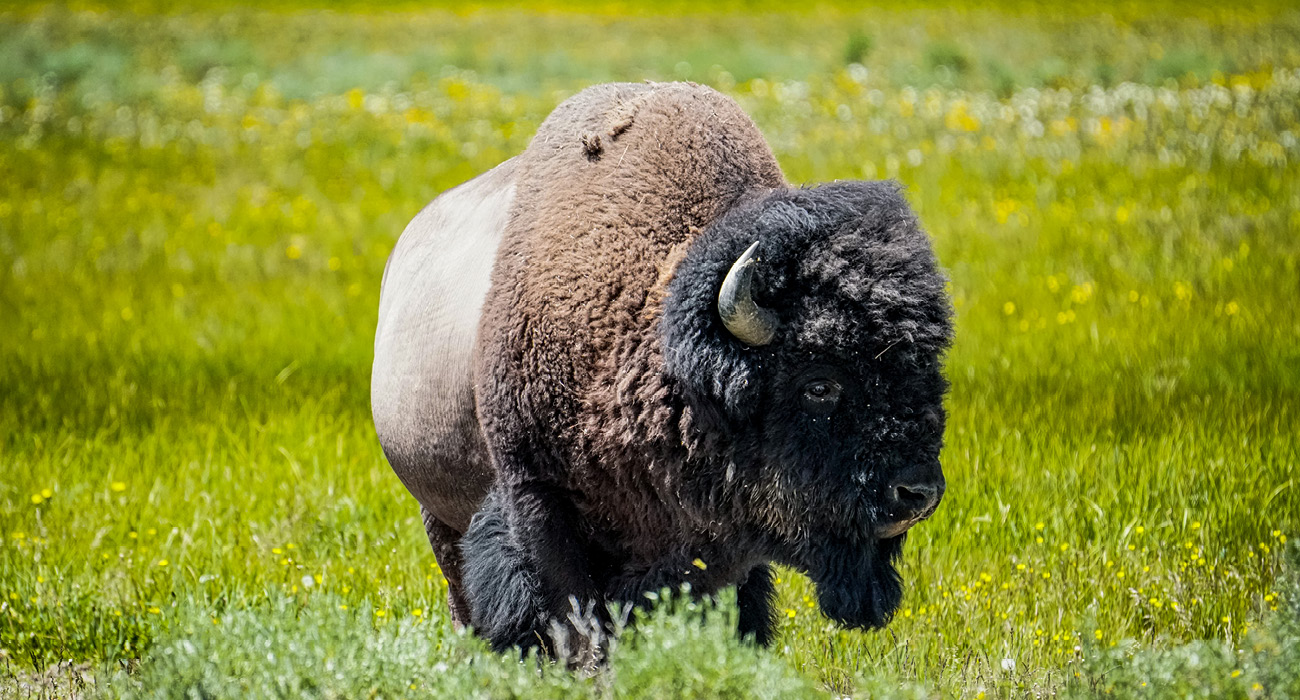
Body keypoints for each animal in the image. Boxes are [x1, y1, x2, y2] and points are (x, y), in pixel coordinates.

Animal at [371, 81, 953, 655]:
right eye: (819, 384)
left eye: (927, 370)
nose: (918, 494)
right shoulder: (538, 501)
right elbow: (577, 625)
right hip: (440, 516)